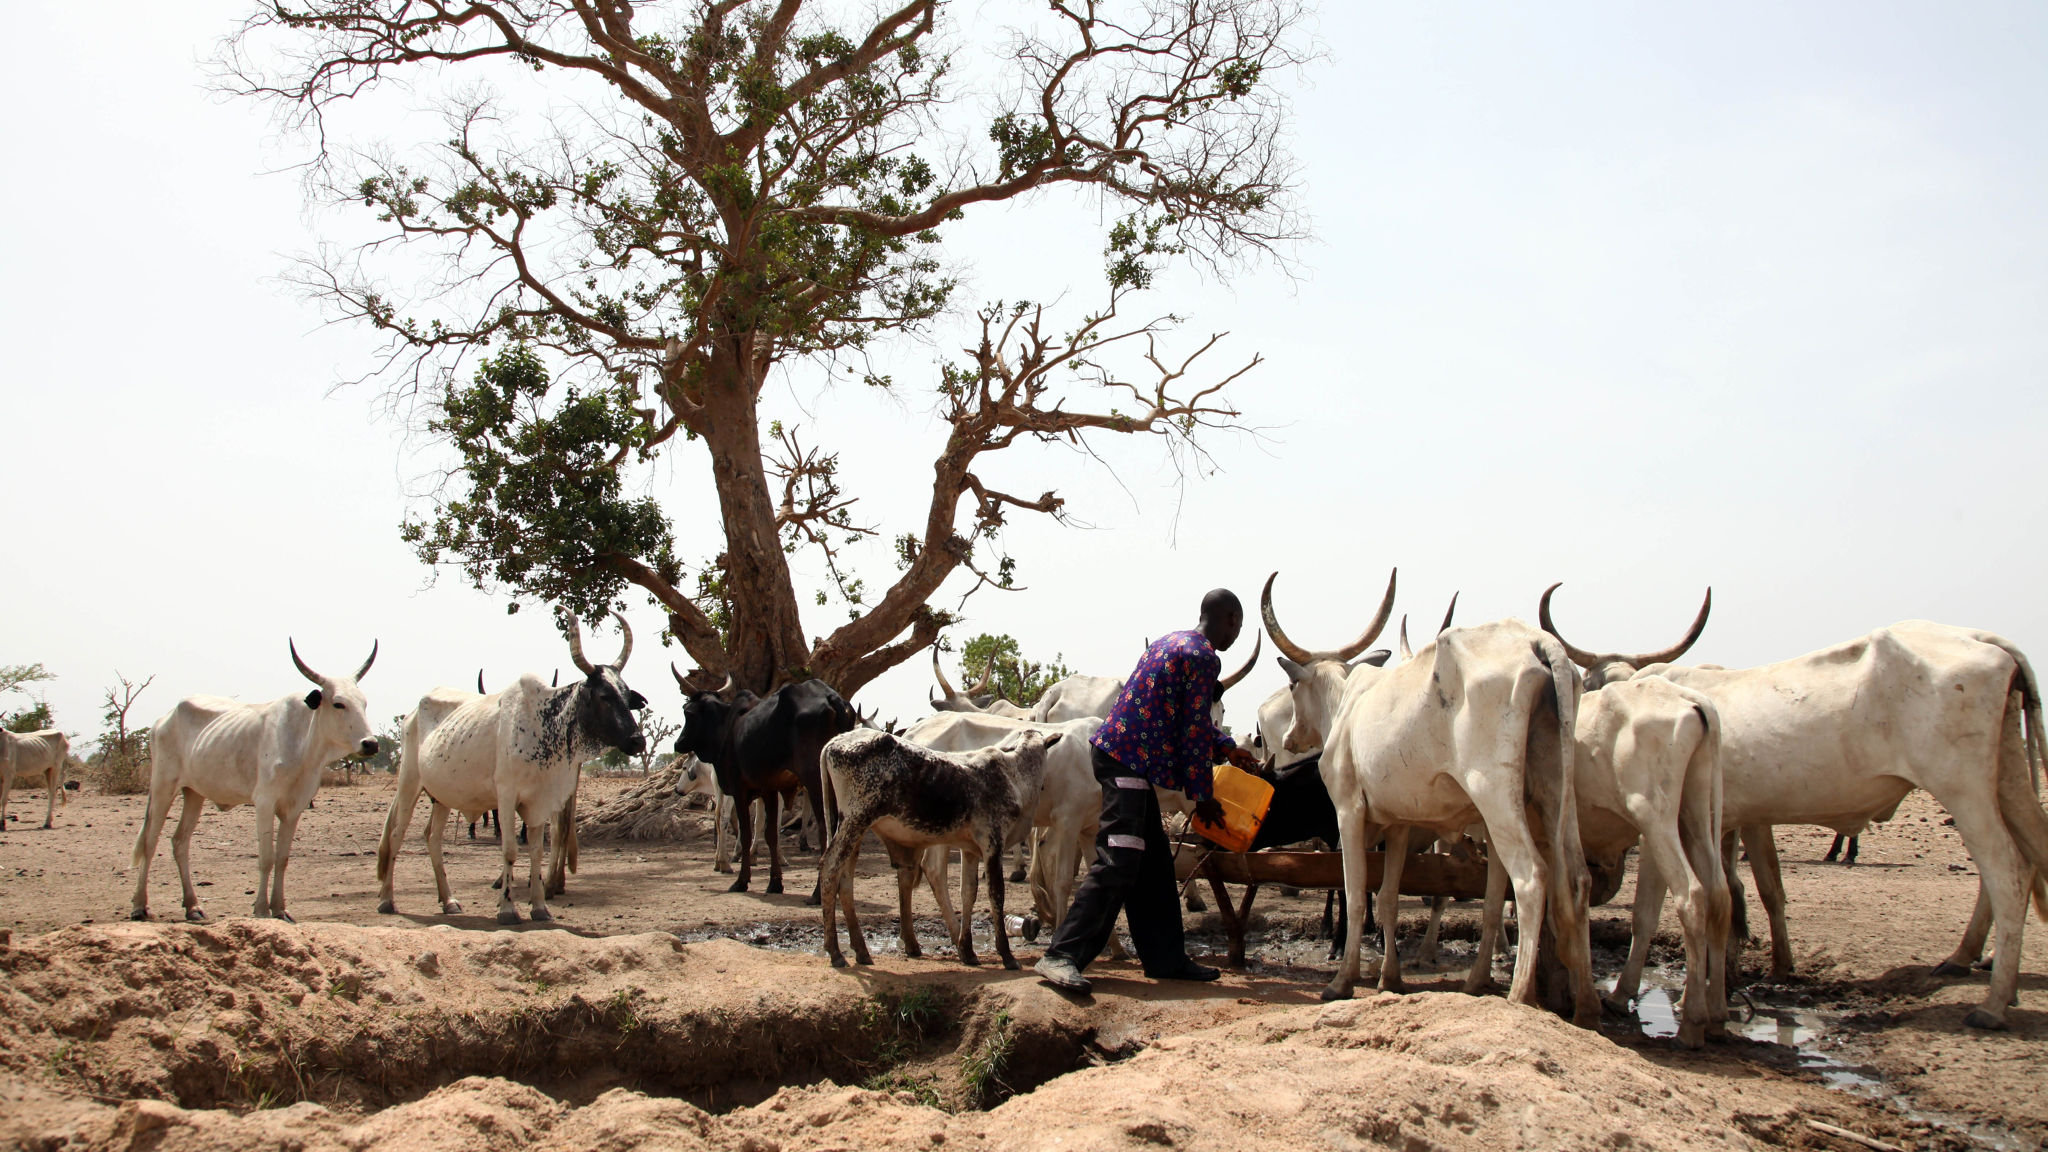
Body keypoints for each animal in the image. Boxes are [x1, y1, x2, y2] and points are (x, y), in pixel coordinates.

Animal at [132, 631, 380, 918]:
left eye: (364, 704)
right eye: (339, 704)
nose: (370, 744)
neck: (303, 745)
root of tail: (164, 719)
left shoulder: (294, 808)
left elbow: (282, 859)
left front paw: (280, 908)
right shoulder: (263, 802)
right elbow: (266, 858)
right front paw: (262, 908)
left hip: (193, 793)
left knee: (180, 842)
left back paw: (192, 905)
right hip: (162, 787)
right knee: (150, 842)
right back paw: (139, 905)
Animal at [679, 668, 856, 901]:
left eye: (687, 712)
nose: (678, 743)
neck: (727, 728)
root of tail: (832, 698)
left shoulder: (740, 791)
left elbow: (746, 833)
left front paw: (742, 880)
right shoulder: (770, 790)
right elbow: (770, 834)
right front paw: (775, 883)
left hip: (816, 781)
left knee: (826, 827)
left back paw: (818, 893)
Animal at [1261, 565, 1597, 1020]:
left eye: (1294, 689)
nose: (1291, 738)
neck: (1347, 704)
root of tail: (1537, 642)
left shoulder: (1349, 811)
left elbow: (1355, 892)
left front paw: (1343, 980)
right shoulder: (1400, 824)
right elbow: (1387, 896)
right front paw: (1390, 978)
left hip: (1495, 796)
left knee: (1530, 876)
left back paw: (1519, 996)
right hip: (1555, 789)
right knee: (1574, 878)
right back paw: (1584, 1005)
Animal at [1540, 586, 2048, 1024]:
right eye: (1594, 681)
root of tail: (1985, 640)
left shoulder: (1688, 826)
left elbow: (1670, 906)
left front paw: (1643, 992)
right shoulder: (1737, 821)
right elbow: (1749, 890)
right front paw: (1746, 974)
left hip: (1962, 787)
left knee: (2007, 871)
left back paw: (1993, 1003)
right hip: (2005, 779)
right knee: (2027, 858)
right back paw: (1970, 961)